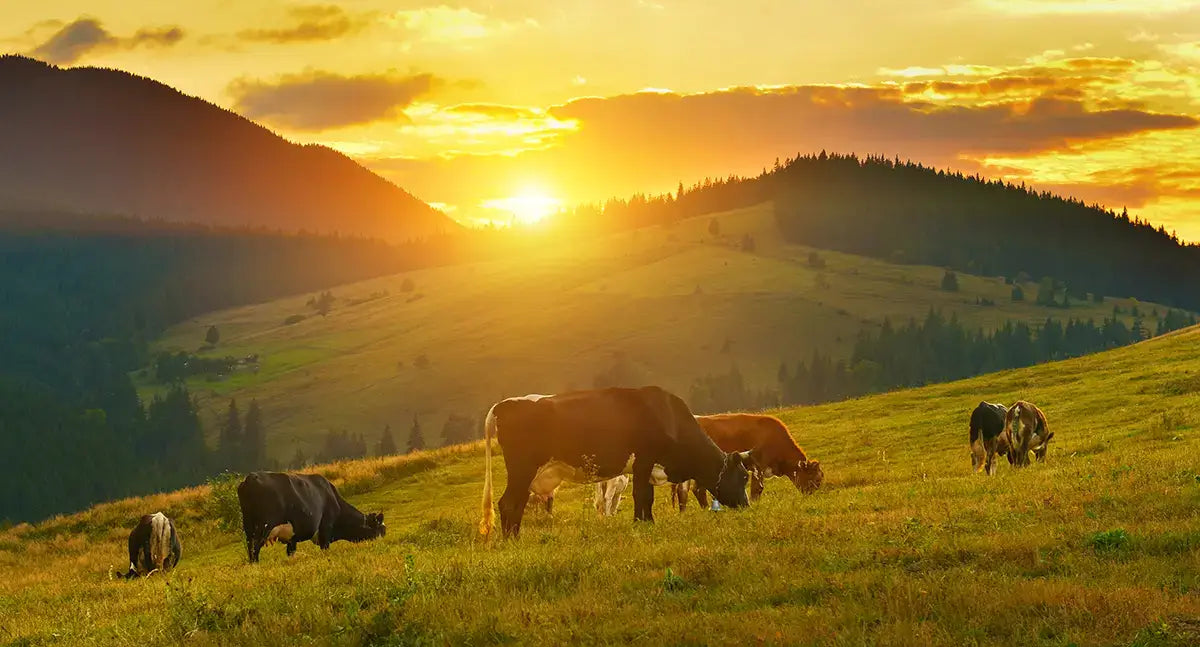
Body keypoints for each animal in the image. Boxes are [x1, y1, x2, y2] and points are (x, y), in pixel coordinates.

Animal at [234, 470, 384, 561]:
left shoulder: (292, 539)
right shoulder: (326, 528)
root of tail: (250, 478)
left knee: (250, 547)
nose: (382, 540)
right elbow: (325, 548)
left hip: (249, 528)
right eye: (380, 528)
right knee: (255, 549)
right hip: (263, 526)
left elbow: (291, 552)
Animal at [480, 386, 748, 540]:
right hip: (522, 468)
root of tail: (503, 405)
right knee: (507, 503)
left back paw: (514, 536)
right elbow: (642, 496)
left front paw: (647, 522)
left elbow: (646, 497)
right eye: (744, 477)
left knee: (517, 503)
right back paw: (512, 541)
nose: (746, 506)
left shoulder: (645, 467)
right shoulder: (644, 460)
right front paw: (642, 525)